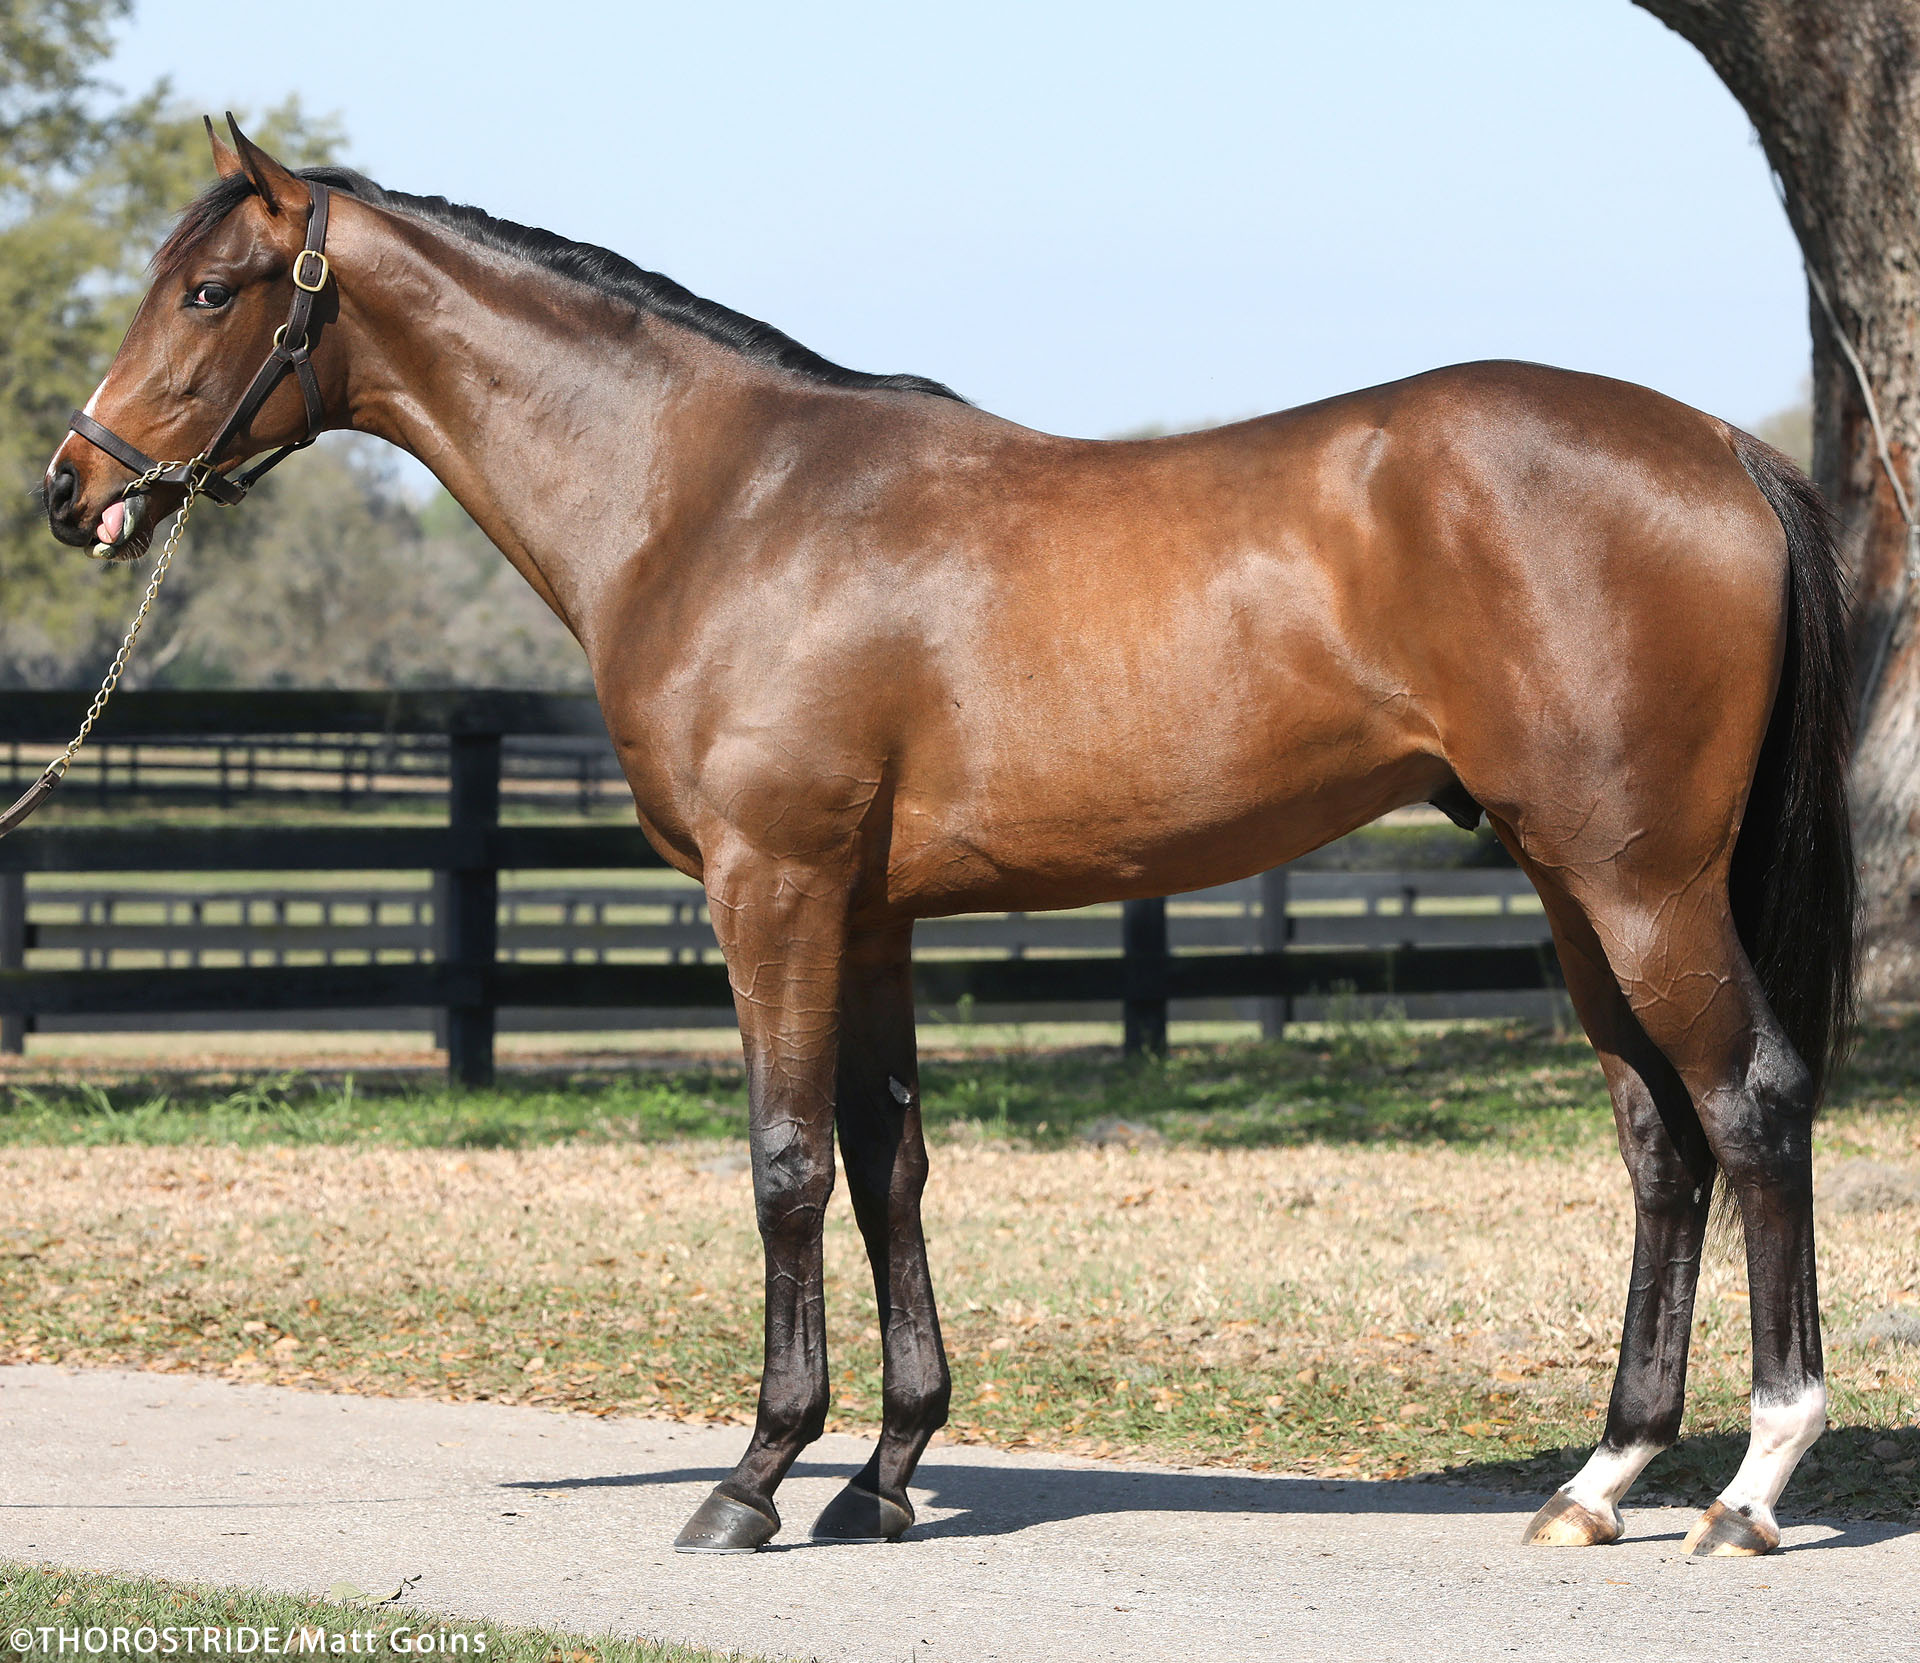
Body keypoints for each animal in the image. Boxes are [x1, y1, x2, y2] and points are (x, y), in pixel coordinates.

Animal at [37, 120, 1850, 1551]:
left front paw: (755, 1475)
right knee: (1661, 1141)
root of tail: (1725, 449)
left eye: (209, 293)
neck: (719, 497)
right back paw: (1602, 1479)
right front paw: (886, 1467)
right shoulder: (870, 910)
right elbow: (887, 1161)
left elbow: (783, 1161)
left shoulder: (771, 887)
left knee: (1750, 1105)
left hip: (1639, 881)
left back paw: (1753, 1483)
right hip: (1569, 880)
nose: (73, 487)